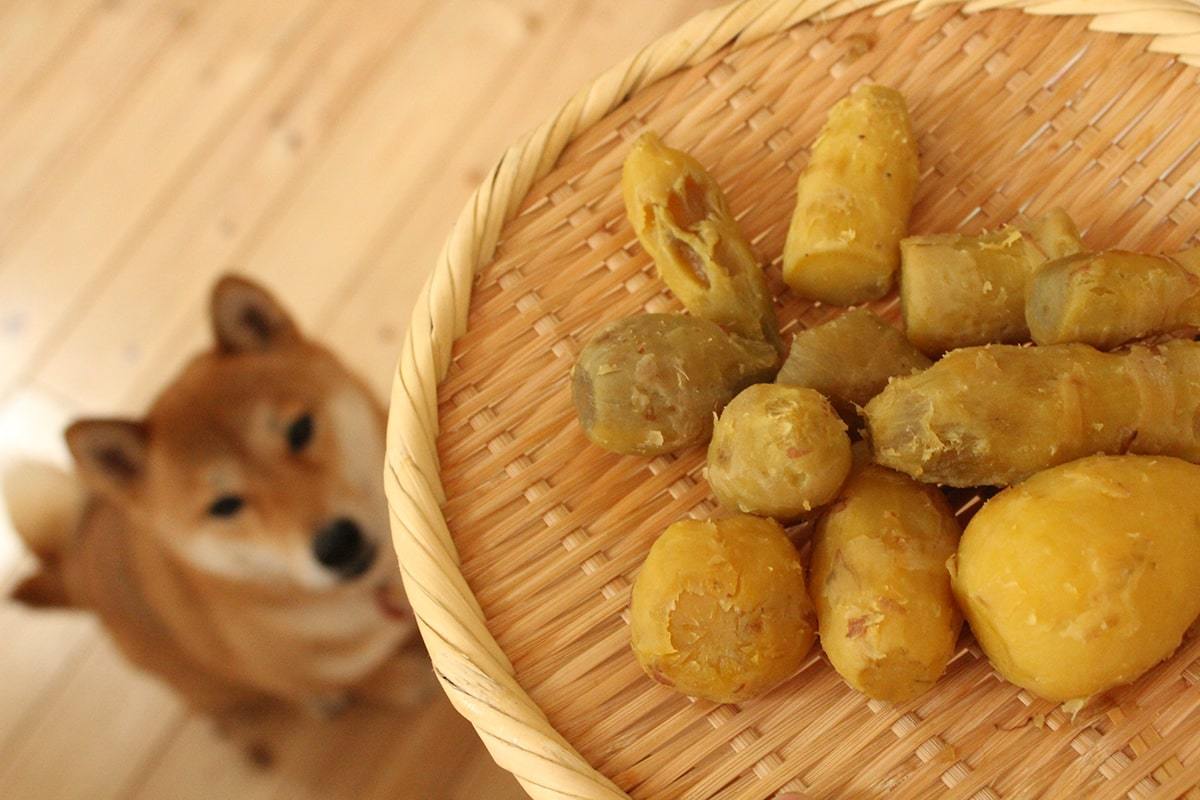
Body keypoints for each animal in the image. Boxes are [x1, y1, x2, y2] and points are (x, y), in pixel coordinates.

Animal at [3, 278, 427, 714]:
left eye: (300, 430)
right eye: (224, 506)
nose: (337, 544)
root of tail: (72, 569)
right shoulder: (285, 670)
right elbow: (356, 680)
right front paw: (399, 681)